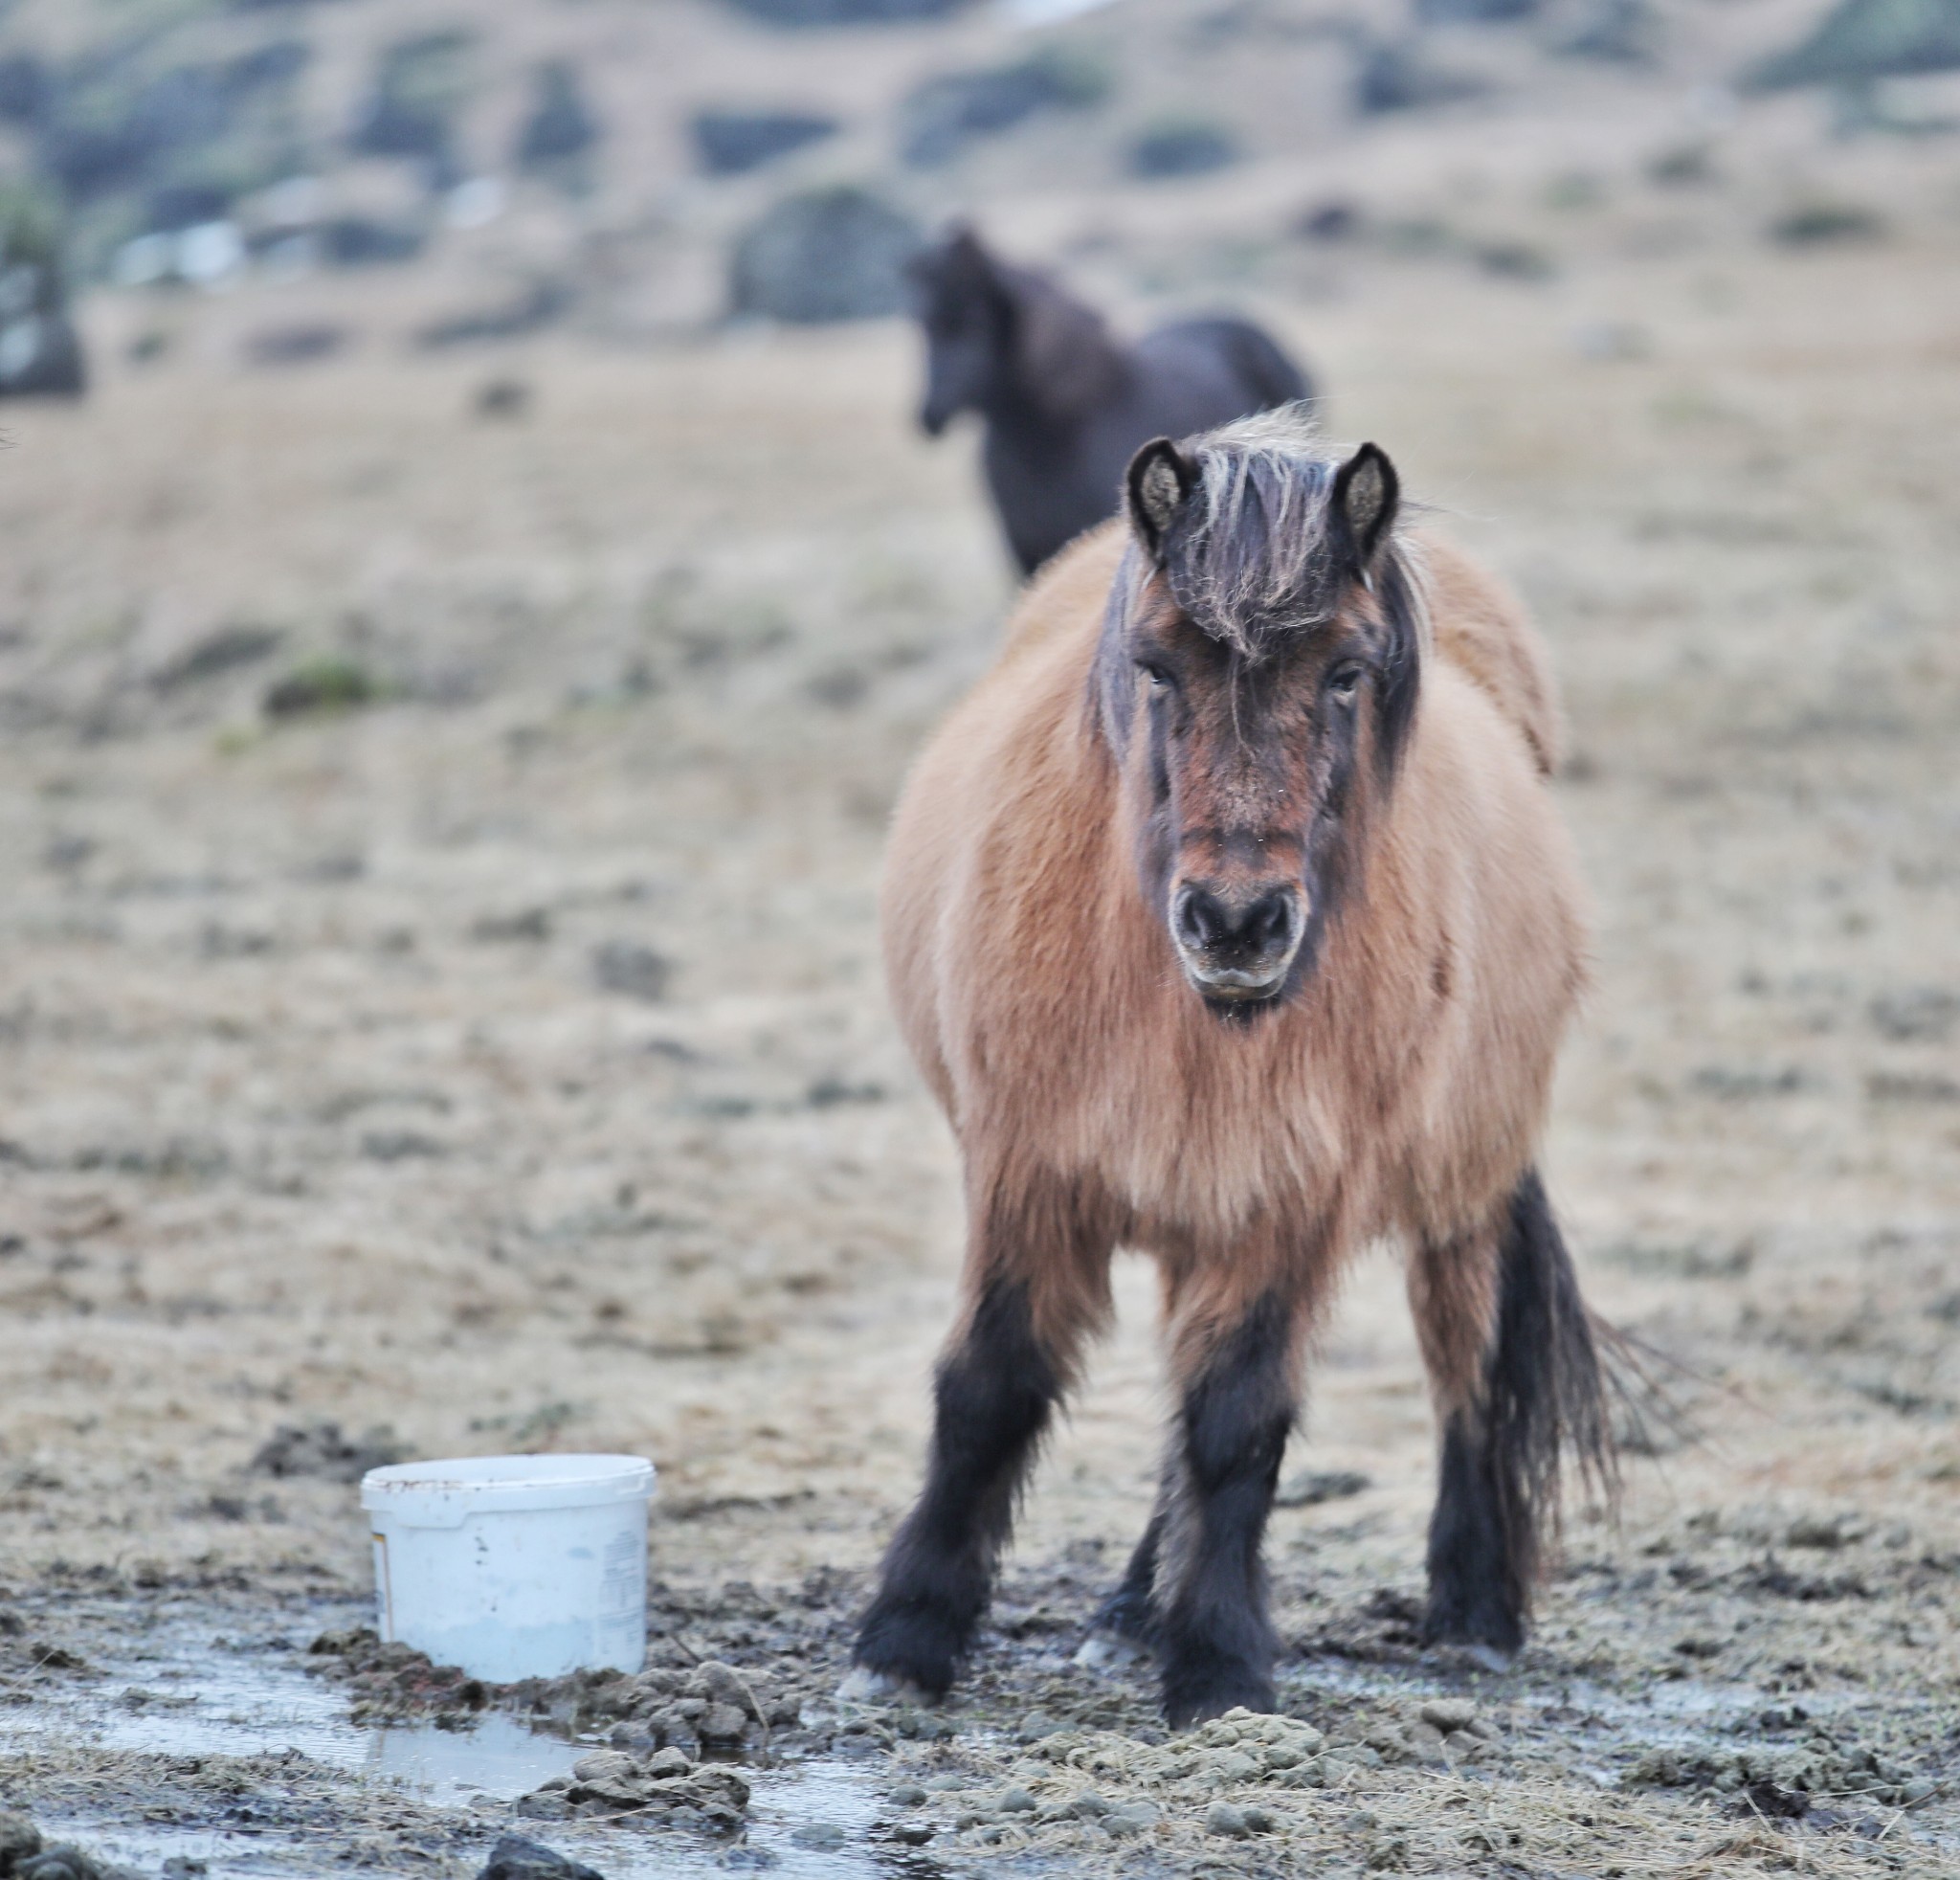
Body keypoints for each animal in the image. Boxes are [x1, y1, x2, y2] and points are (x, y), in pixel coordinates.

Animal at [838, 412, 1607, 1733]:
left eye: (1346, 672)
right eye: (1155, 668)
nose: (1237, 923)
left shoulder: (1288, 1196)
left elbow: (1239, 1420)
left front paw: (1218, 1666)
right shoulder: (1029, 1169)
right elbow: (990, 1389)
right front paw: (906, 1637)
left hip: (1457, 1185)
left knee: (1459, 1359)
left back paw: (1470, 1609)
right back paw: (1123, 1611)